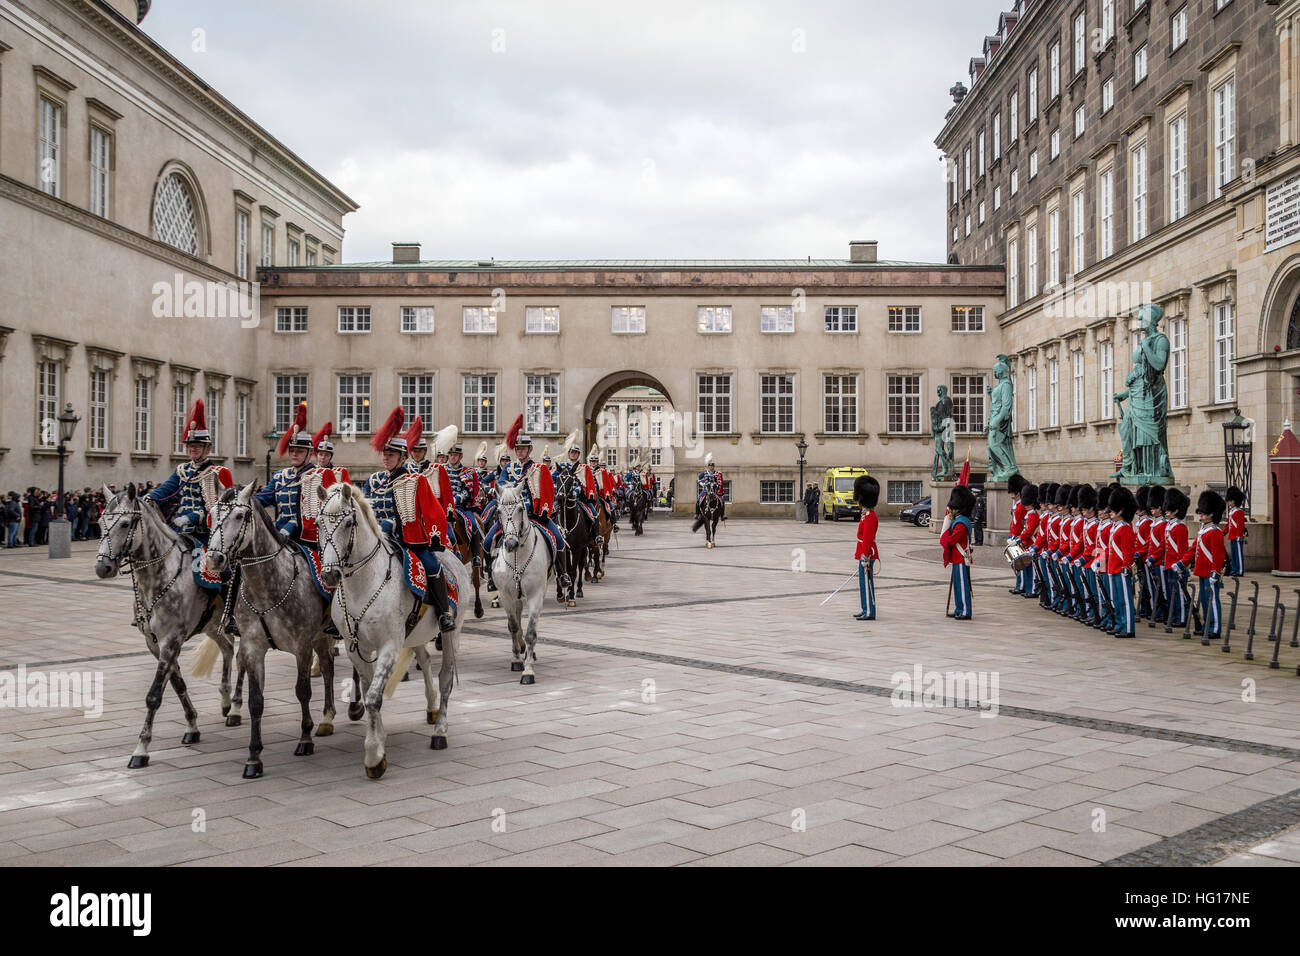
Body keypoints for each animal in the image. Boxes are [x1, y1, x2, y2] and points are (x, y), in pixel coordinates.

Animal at [97, 486, 240, 770]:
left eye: (126, 523)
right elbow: (177, 684)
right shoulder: (155, 643)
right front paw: (192, 726)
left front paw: (141, 749)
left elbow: (154, 695)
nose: (102, 567)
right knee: (228, 649)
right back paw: (226, 702)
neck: (158, 578)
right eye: (100, 523)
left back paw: (237, 707)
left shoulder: (171, 640)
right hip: (212, 625)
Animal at [317, 486, 470, 780]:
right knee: (424, 659)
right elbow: (368, 692)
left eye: (349, 523)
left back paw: (440, 731)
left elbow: (374, 697)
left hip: (452, 633)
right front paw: (378, 739)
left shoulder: (388, 647)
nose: (330, 575)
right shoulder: (357, 649)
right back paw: (432, 708)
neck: (363, 585)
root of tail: (449, 554)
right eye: (318, 523)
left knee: (445, 678)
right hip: (415, 634)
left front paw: (374, 756)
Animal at [488, 489, 548, 686]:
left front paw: (528, 670)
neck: (517, 557)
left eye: (521, 509)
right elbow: (513, 626)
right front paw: (516, 660)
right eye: (498, 511)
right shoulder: (506, 595)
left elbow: (531, 633)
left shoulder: (536, 595)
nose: (511, 544)